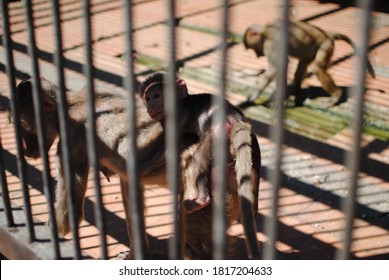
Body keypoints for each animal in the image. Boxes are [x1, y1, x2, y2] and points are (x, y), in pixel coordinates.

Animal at [139, 73, 260, 260]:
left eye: (157, 95)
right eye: (148, 98)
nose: (150, 105)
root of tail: (235, 120)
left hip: (219, 132)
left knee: (201, 154)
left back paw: (201, 199)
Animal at [244, 20, 374, 107]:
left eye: (254, 49)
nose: (257, 55)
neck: (264, 31)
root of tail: (327, 33)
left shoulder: (270, 43)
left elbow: (277, 67)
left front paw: (253, 96)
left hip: (326, 45)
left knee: (317, 68)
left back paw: (336, 96)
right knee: (302, 64)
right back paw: (295, 90)